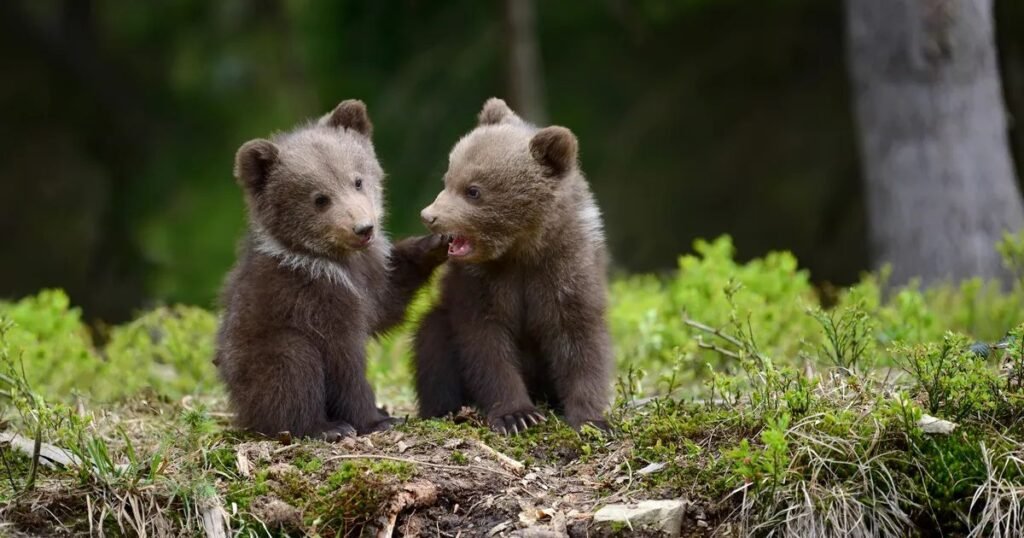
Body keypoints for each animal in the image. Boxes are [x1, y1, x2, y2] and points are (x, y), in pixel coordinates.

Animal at [215, 99, 447, 440]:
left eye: (357, 180)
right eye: (320, 198)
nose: (363, 228)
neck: (336, 261)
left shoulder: (369, 276)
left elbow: (387, 302)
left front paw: (435, 243)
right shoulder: (314, 298)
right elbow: (343, 362)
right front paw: (375, 419)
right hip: (261, 353)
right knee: (293, 367)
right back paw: (326, 426)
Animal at [414, 98, 613, 434]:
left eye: (473, 190)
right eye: (448, 178)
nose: (429, 215)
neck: (521, 250)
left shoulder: (566, 270)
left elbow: (579, 340)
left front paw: (592, 419)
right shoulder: (481, 283)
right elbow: (486, 344)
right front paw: (516, 415)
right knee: (432, 342)